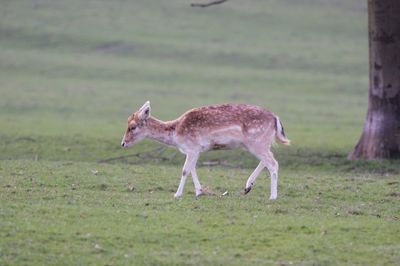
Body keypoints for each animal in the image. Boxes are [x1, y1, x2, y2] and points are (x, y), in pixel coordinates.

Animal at [120, 101, 290, 200]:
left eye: (132, 127)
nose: (123, 143)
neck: (175, 132)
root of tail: (276, 118)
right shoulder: (196, 150)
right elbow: (192, 169)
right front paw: (198, 192)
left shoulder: (192, 148)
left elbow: (185, 170)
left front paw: (177, 194)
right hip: (259, 143)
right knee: (268, 160)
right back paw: (248, 187)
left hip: (257, 142)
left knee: (273, 163)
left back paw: (273, 196)